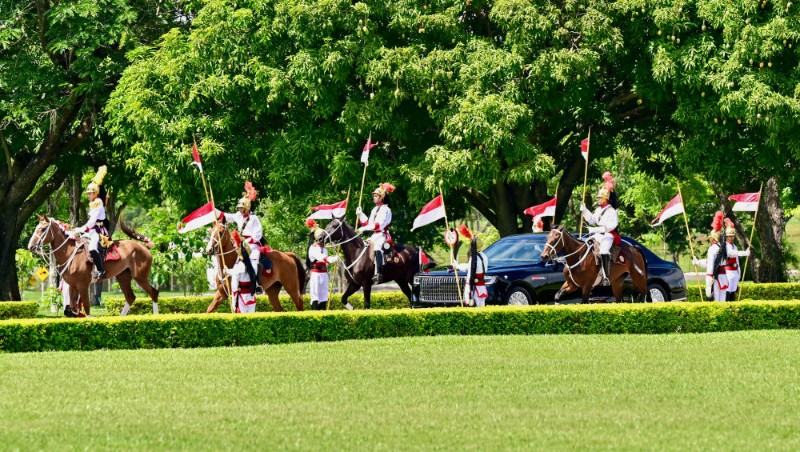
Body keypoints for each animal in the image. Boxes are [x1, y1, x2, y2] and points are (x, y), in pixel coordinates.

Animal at [26, 215, 159, 314]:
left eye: (43, 229)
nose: (30, 246)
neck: (71, 253)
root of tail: (144, 247)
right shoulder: (73, 285)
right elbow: (73, 307)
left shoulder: (83, 285)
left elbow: (86, 308)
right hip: (123, 277)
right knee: (131, 297)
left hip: (140, 277)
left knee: (154, 293)